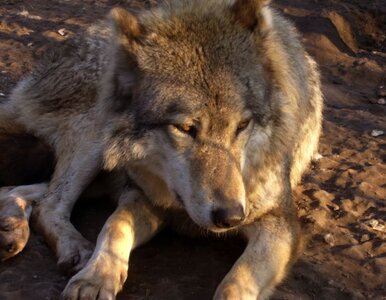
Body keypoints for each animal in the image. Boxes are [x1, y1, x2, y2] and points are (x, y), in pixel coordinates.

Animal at [0, 0, 322, 298]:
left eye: (242, 125)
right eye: (185, 128)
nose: (230, 216)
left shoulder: (279, 224)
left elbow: (237, 281)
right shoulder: (143, 198)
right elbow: (114, 225)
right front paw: (94, 279)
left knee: (19, 191)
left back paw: (12, 229)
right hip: (97, 135)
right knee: (50, 204)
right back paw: (70, 248)